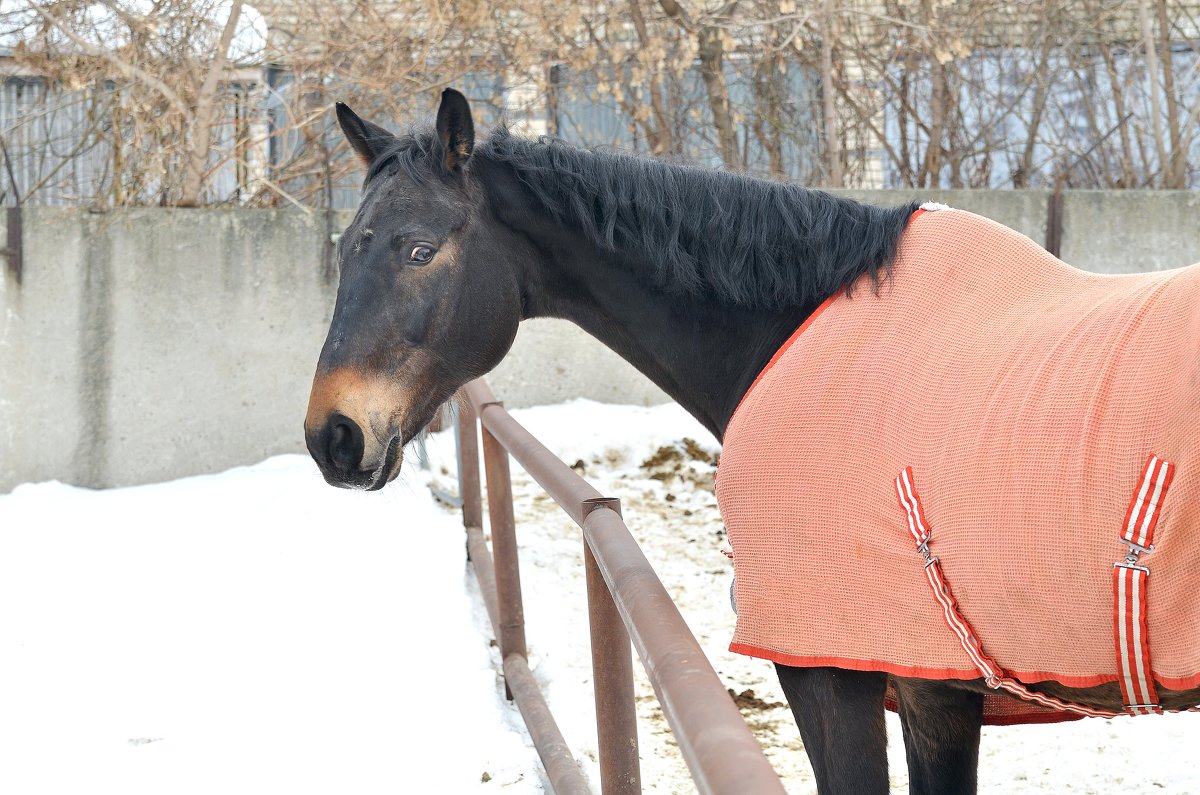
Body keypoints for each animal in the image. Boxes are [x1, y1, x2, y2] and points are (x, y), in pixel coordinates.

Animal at [302, 88, 1200, 795]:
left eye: (421, 249)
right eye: (346, 246)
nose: (332, 434)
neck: (797, 335)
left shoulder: (831, 677)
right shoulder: (935, 688)